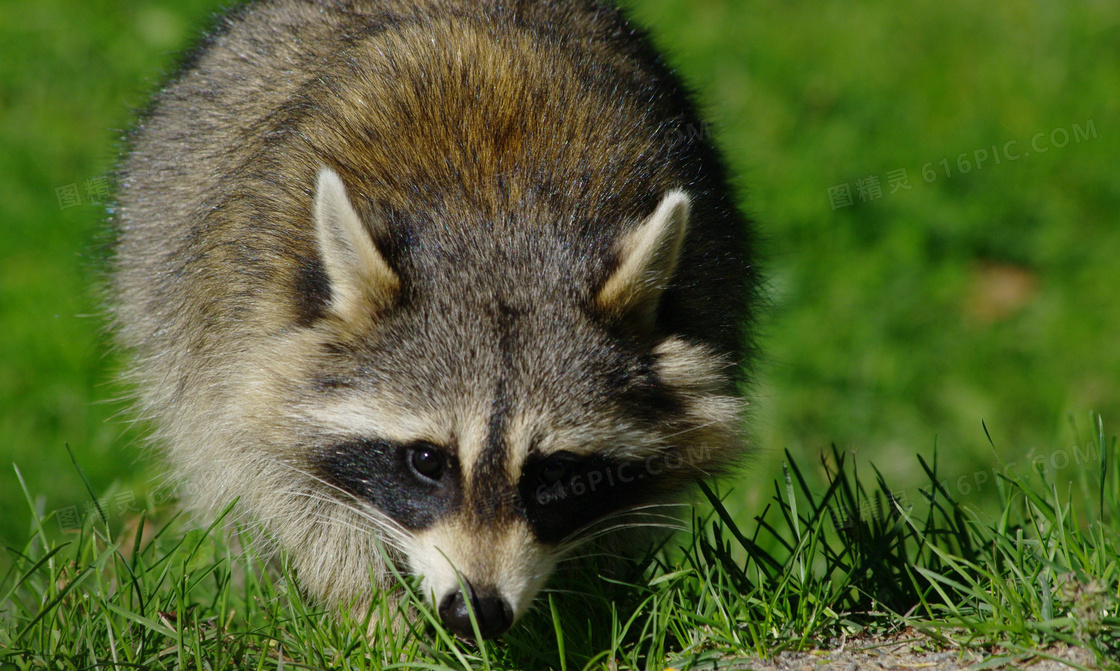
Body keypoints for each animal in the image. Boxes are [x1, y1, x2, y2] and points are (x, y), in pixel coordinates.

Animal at [109, 0, 757, 640]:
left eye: (557, 470)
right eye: (426, 460)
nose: (476, 612)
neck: (498, 227)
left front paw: (571, 617)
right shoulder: (240, 334)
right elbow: (288, 489)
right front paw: (375, 612)